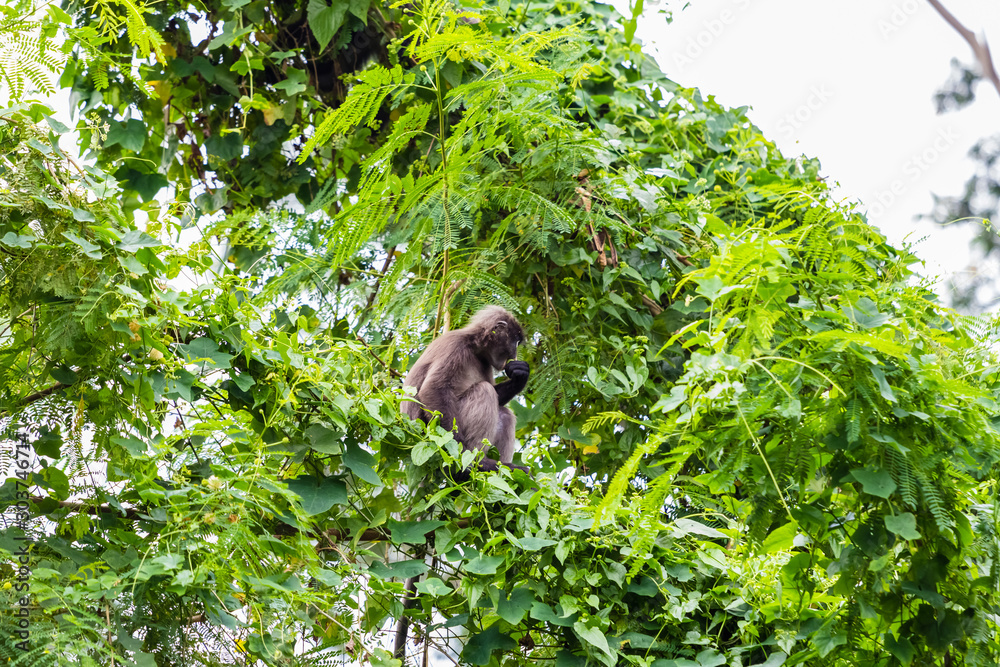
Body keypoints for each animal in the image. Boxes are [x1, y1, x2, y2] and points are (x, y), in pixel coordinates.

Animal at [401, 305, 530, 475]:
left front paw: (520, 376)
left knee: (504, 413)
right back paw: (479, 463)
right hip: (430, 428)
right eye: (515, 342)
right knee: (484, 390)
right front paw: (460, 454)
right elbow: (432, 389)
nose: (515, 354)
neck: (474, 348)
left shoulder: (485, 362)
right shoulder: (455, 346)